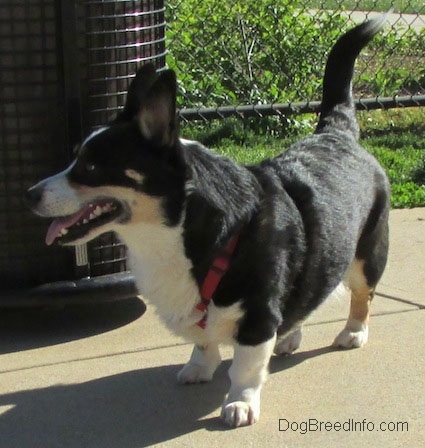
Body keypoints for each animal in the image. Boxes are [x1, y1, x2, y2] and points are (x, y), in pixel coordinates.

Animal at [26, 17, 390, 428]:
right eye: (75, 158)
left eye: (89, 167)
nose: (29, 195)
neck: (179, 228)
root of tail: (335, 132)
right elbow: (203, 341)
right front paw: (200, 368)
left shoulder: (257, 317)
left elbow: (245, 367)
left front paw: (241, 403)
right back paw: (288, 337)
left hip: (366, 255)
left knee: (362, 295)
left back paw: (353, 332)